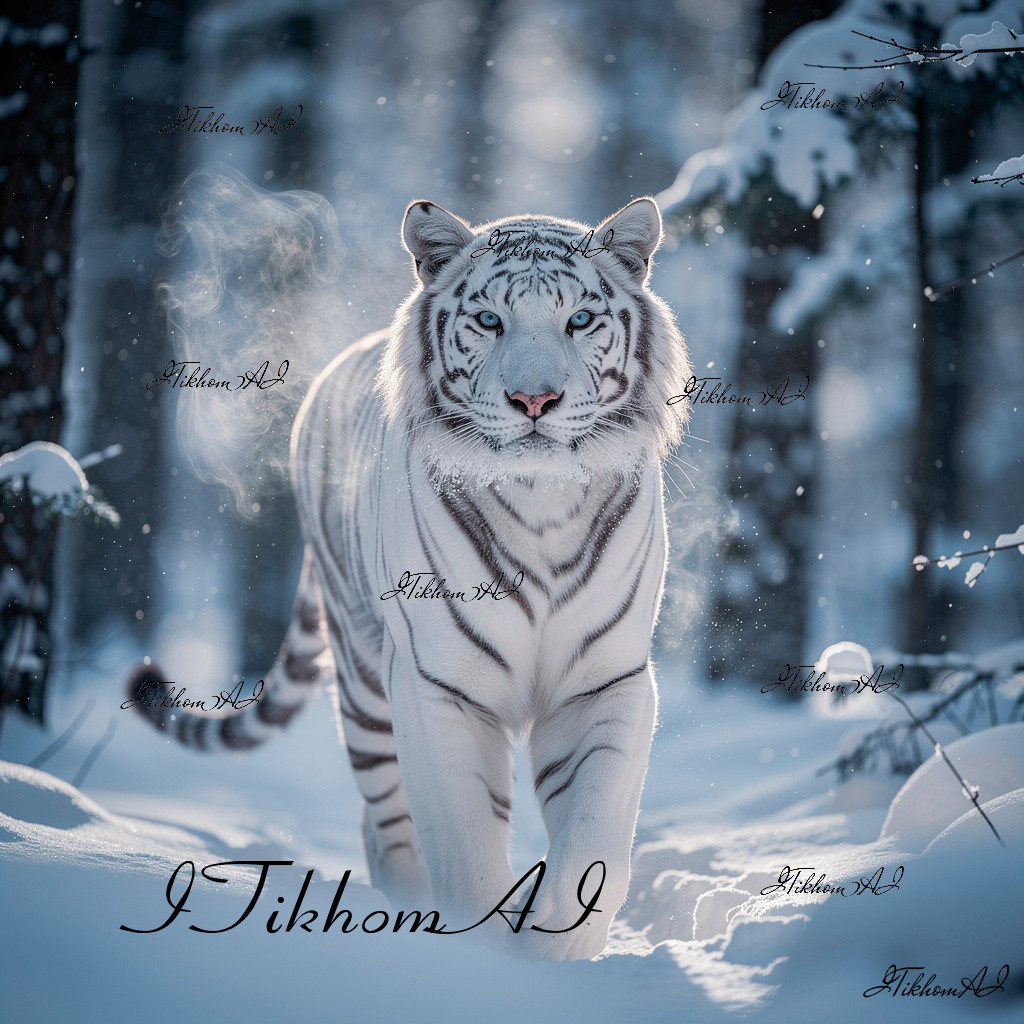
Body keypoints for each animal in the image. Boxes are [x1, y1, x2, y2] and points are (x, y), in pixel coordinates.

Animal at [130, 196, 692, 960]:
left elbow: (592, 835)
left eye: (580, 320)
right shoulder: (438, 683)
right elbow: (464, 837)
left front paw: (554, 951)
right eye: (489, 320)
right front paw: (484, 952)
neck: (542, 505)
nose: (535, 400)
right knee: (385, 823)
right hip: (366, 679)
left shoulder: (606, 680)